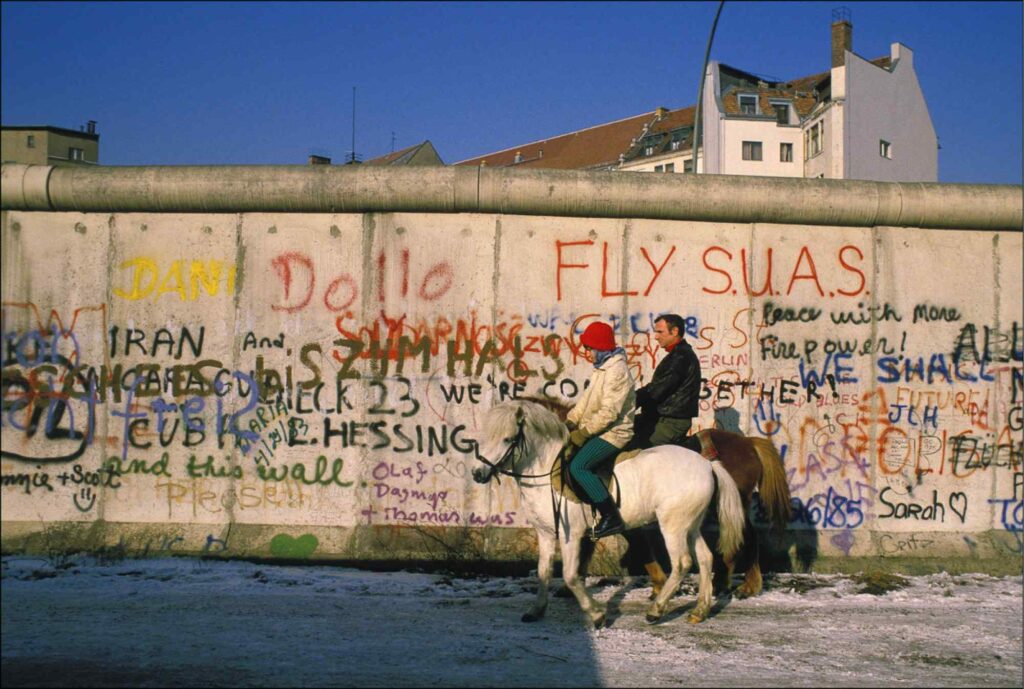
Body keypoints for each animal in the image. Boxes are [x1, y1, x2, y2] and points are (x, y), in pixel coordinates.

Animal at [471, 397, 745, 630]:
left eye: (508, 439)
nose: (477, 473)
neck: (547, 471)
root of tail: (707, 464)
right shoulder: (546, 533)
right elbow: (543, 572)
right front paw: (536, 610)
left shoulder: (571, 535)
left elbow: (570, 576)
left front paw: (597, 615)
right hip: (690, 524)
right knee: (705, 558)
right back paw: (700, 610)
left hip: (673, 526)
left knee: (681, 563)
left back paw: (656, 610)